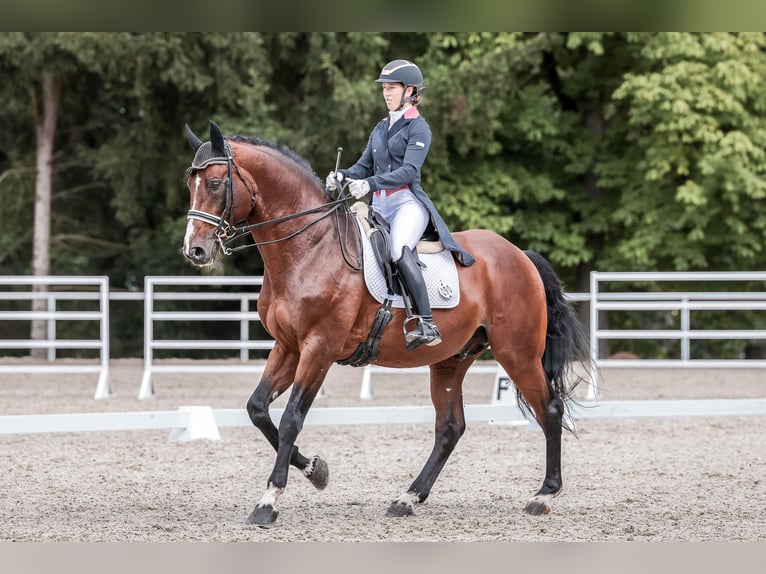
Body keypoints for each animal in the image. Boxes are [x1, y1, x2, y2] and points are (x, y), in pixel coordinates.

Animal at [181, 120, 588, 526]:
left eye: (215, 184)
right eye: (190, 183)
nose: (195, 250)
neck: (309, 248)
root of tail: (520, 255)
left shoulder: (319, 348)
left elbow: (291, 419)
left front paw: (269, 501)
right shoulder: (289, 346)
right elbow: (258, 409)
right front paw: (315, 470)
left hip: (517, 353)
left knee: (549, 409)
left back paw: (543, 495)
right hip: (451, 360)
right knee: (450, 428)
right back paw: (408, 498)